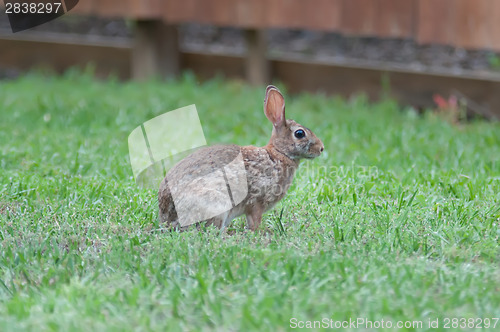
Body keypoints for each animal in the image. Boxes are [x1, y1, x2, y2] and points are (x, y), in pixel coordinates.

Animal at [158, 85, 326, 231]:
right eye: (300, 133)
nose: (321, 148)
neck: (278, 153)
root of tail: (167, 217)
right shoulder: (257, 202)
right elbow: (254, 220)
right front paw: (258, 232)